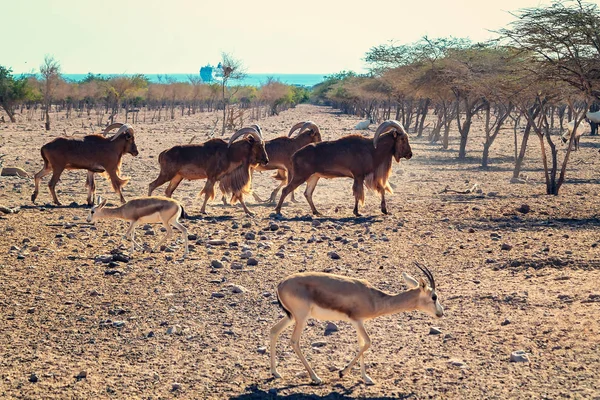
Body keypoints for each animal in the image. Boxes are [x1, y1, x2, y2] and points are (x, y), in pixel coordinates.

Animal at [274, 120, 410, 217]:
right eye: (403, 139)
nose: (410, 154)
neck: (372, 149)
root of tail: (294, 155)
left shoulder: (369, 176)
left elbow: (381, 190)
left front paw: (384, 210)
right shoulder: (359, 176)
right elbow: (358, 193)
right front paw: (357, 212)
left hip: (314, 177)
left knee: (307, 193)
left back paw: (316, 212)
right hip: (300, 176)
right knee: (286, 190)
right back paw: (278, 210)